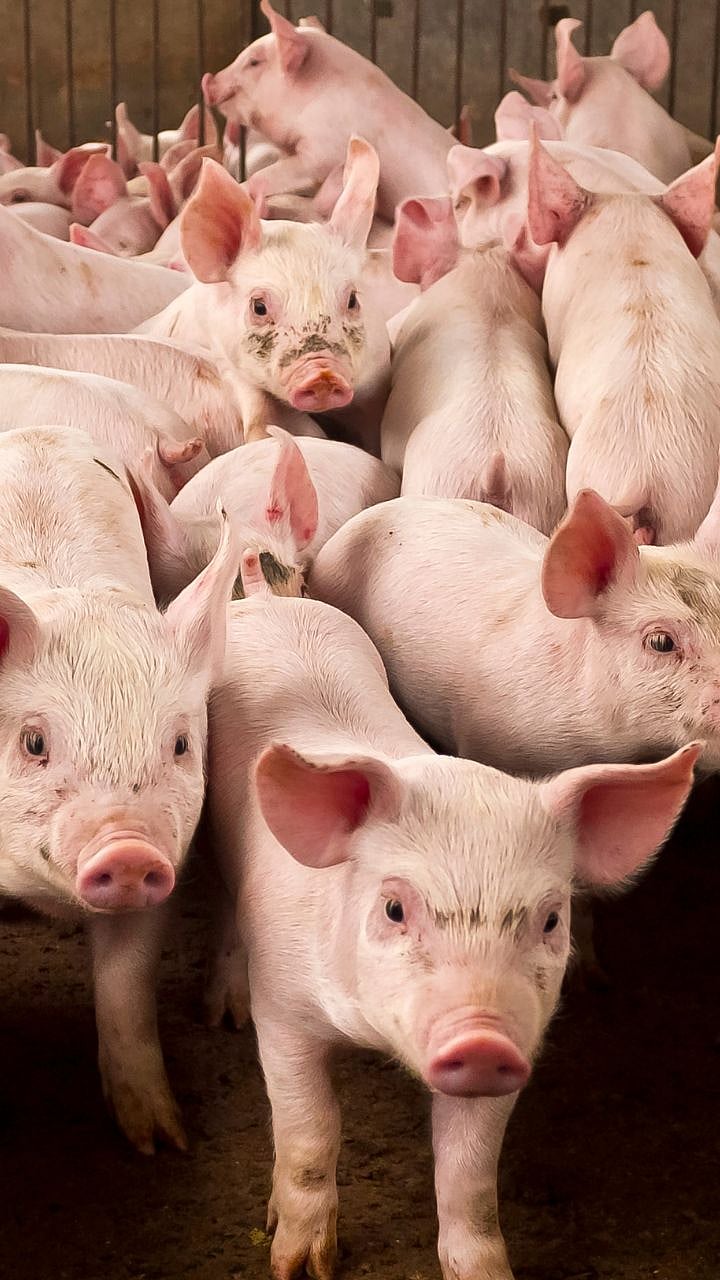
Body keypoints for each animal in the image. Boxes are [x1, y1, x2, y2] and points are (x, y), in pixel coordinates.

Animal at [0, 425, 237, 1151]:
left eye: (181, 744)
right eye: (35, 742)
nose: (128, 849)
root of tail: (40, 431)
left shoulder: (173, 857)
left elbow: (126, 988)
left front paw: (162, 1142)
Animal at [139, 145, 391, 452]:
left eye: (352, 300)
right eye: (259, 307)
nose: (322, 374)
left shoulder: (377, 375)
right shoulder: (227, 359)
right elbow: (259, 414)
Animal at [207, 587, 697, 1280]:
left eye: (550, 918)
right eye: (393, 908)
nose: (483, 1038)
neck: (370, 1035)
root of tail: (270, 598)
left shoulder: (518, 1047)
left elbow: (469, 1172)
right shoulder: (283, 1009)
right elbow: (310, 1129)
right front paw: (299, 1266)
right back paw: (225, 1010)